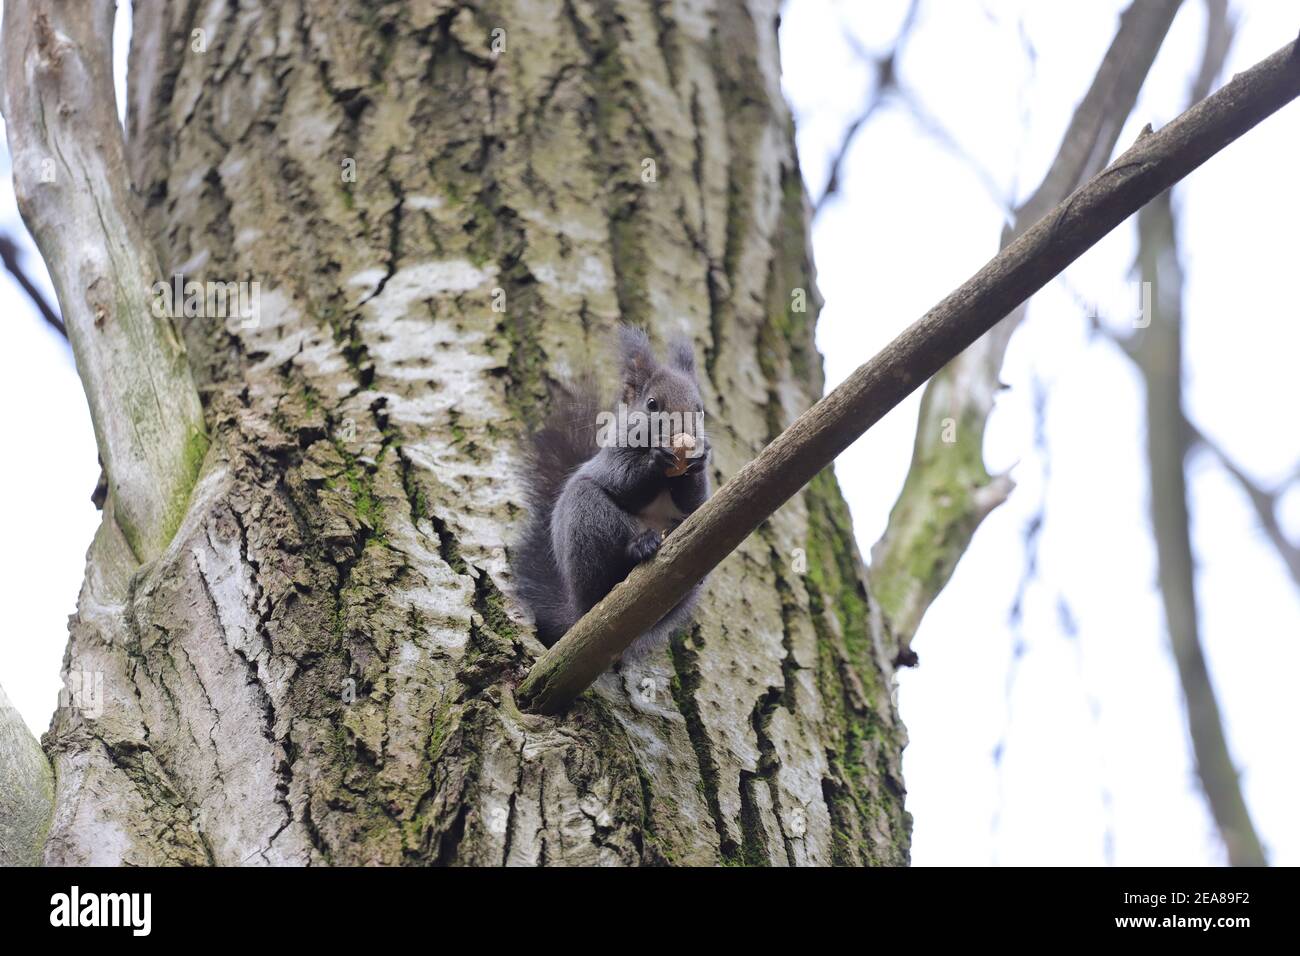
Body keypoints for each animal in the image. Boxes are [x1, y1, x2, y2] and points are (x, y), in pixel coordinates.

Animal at [512, 325, 712, 662]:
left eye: (700, 409)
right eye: (652, 404)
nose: (684, 435)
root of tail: (579, 611)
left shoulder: (696, 501)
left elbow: (694, 503)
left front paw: (699, 459)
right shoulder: (611, 458)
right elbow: (624, 482)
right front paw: (656, 460)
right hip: (590, 519)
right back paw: (640, 547)